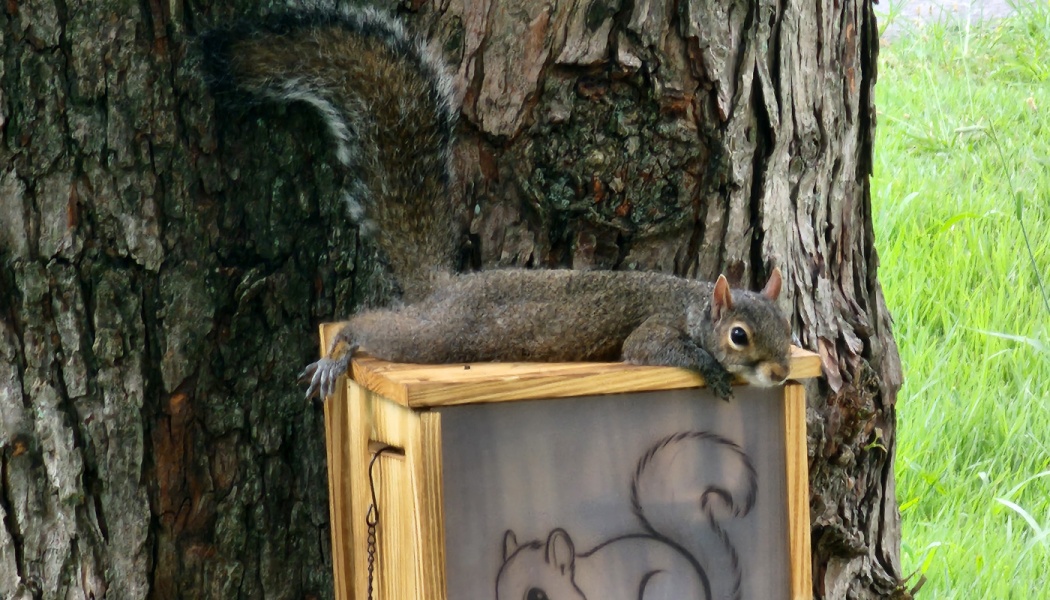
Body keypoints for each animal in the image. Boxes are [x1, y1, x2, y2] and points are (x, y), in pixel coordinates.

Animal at [200, 5, 793, 401]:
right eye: (739, 336)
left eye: (789, 330)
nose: (783, 373)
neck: (694, 303)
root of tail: (445, 288)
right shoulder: (654, 329)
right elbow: (650, 349)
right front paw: (710, 368)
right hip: (439, 337)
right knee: (368, 326)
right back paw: (339, 352)